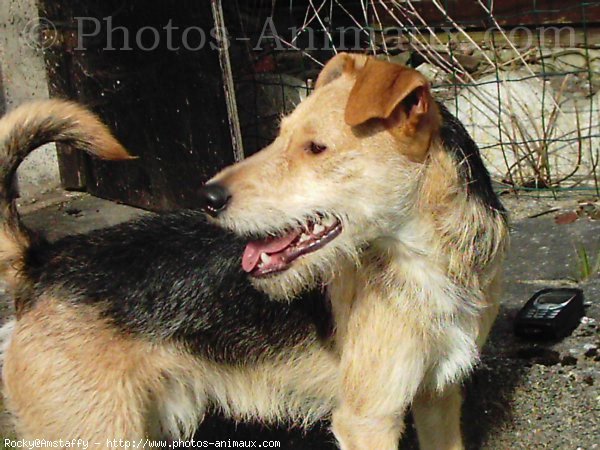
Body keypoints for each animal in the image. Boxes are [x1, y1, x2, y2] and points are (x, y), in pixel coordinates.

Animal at [0, 53, 508, 450]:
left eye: (316, 148)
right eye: (279, 136)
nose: (207, 198)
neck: (430, 261)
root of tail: (44, 260)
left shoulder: (439, 397)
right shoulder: (368, 419)